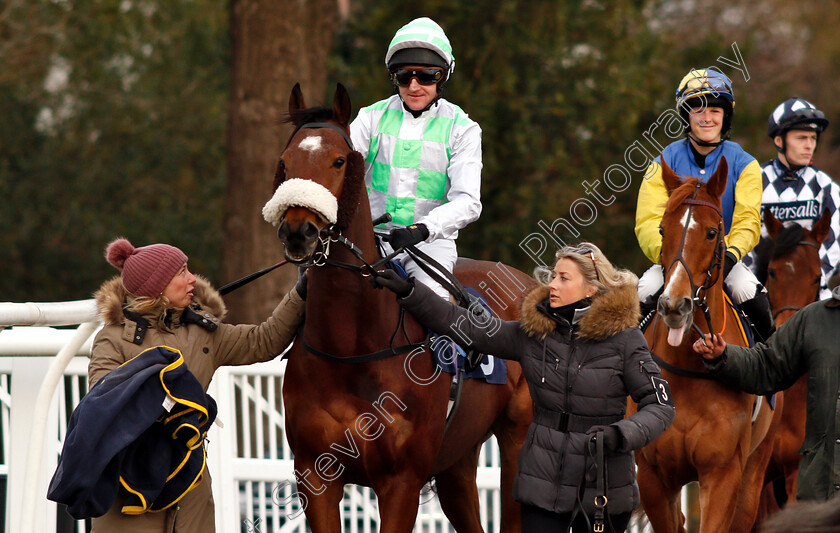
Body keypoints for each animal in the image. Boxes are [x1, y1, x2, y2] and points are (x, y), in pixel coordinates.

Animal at [266, 81, 536, 528]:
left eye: (339, 160)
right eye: (285, 163)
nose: (298, 232)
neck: (352, 350)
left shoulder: (402, 482)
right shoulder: (314, 476)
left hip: (518, 443)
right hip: (456, 460)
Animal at [632, 159, 784, 532]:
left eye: (712, 232)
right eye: (662, 230)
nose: (675, 305)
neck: (687, 375)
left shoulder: (723, 473)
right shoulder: (654, 477)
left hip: (755, 469)